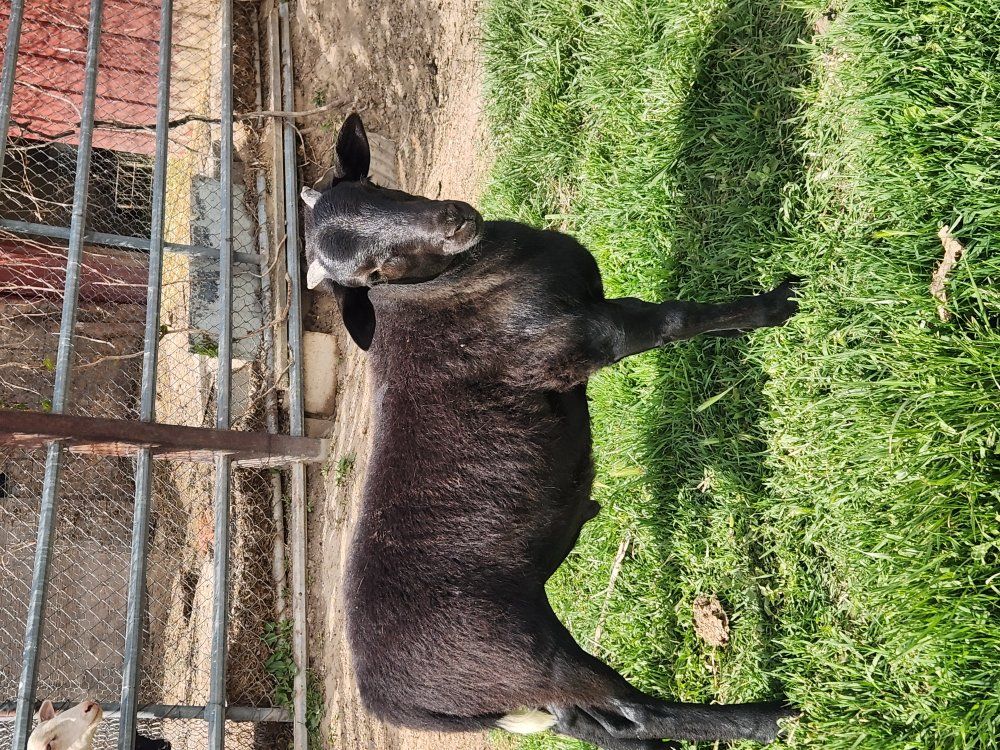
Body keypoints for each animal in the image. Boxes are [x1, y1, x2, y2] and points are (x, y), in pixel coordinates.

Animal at [302, 113, 801, 750]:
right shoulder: (587, 338)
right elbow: (677, 318)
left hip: (525, 680)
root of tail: (393, 703)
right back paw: (770, 717)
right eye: (374, 273)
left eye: (378, 190)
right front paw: (775, 304)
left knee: (593, 722)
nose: (452, 220)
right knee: (633, 708)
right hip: (520, 656)